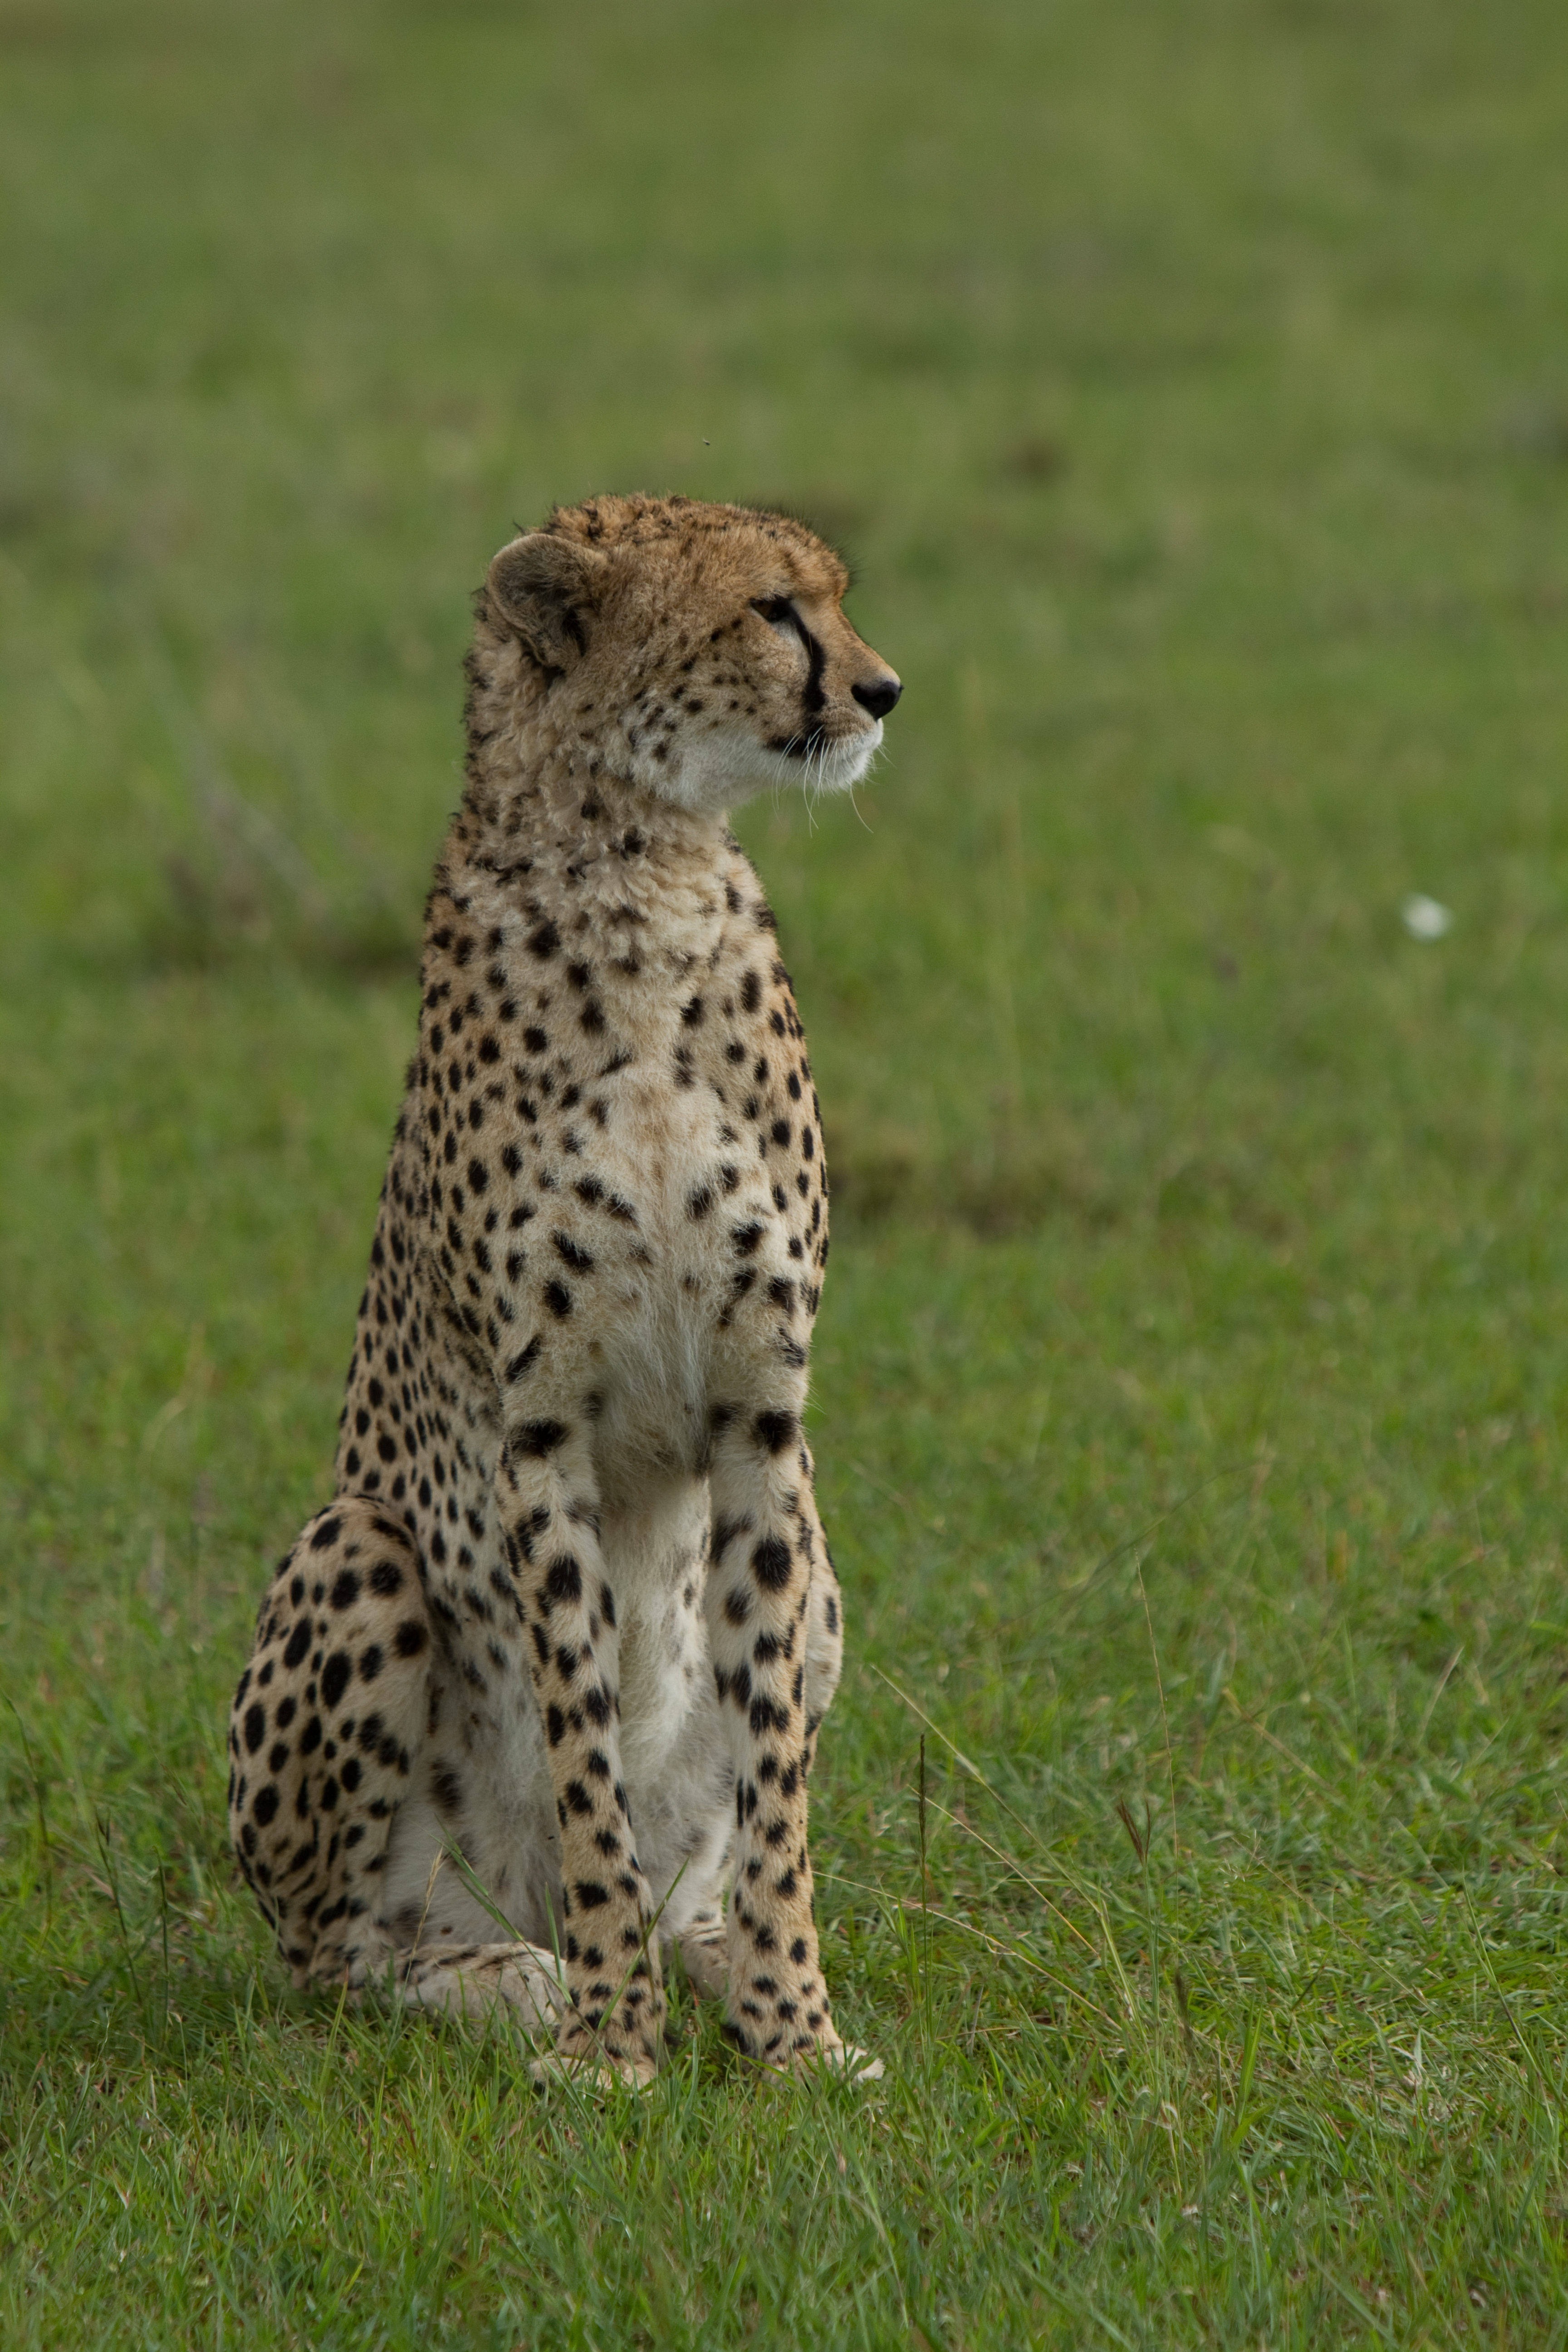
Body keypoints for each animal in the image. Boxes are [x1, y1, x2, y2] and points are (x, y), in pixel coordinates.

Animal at [226, 493, 902, 2086]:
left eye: (833, 597)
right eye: (774, 608)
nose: (883, 689)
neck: (641, 870)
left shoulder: (762, 1416)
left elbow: (772, 1775)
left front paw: (795, 2030)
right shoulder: (542, 1430)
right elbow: (583, 1744)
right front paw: (608, 2044)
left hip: (826, 1554)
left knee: (698, 1863)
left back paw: (704, 1959)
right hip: (358, 1548)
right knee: (339, 1952)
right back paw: (505, 1974)